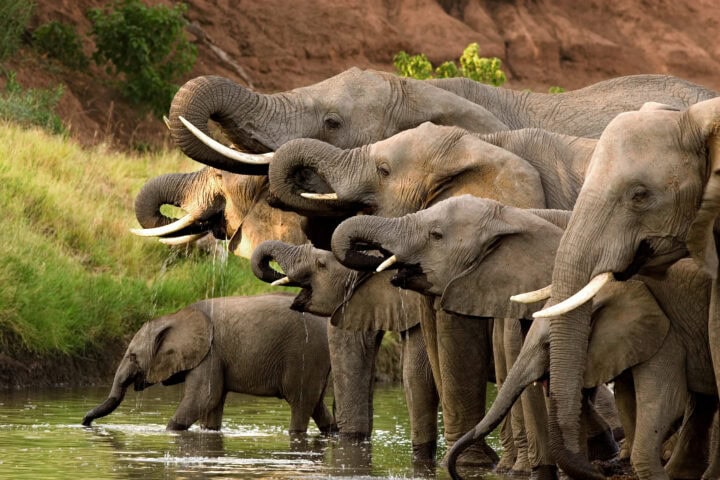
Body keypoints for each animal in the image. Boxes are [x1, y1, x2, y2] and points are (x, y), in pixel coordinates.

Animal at [82, 293, 336, 435]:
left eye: (133, 356)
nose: (84, 422)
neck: (176, 316)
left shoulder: (210, 353)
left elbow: (204, 397)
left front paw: (168, 431)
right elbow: (212, 404)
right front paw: (208, 430)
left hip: (305, 354)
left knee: (300, 403)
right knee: (316, 404)